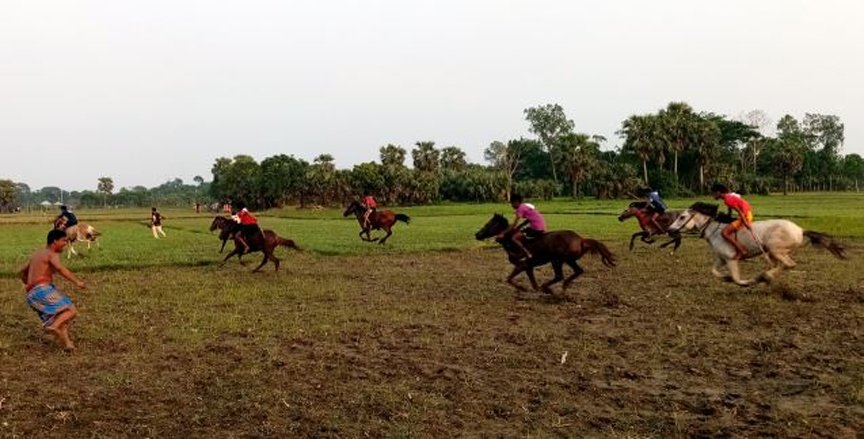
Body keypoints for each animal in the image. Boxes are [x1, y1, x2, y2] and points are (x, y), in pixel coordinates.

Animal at [475, 214, 616, 294]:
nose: (477, 234)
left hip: (558, 260)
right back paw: (562, 288)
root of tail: (581, 240)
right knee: (578, 271)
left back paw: (549, 288)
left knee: (559, 276)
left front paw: (522, 288)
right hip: (569, 260)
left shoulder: (522, 265)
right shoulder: (528, 267)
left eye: (488, 224)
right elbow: (533, 283)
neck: (511, 240)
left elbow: (509, 279)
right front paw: (533, 289)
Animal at [667, 202, 847, 286]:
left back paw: (765, 277)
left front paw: (748, 281)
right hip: (775, 252)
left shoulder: (731, 259)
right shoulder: (721, 259)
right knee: (783, 265)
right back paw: (766, 276)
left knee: (789, 264)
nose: (670, 230)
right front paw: (725, 278)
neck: (716, 231)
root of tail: (800, 230)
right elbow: (714, 272)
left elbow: (737, 279)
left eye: (682, 217)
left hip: (775, 250)